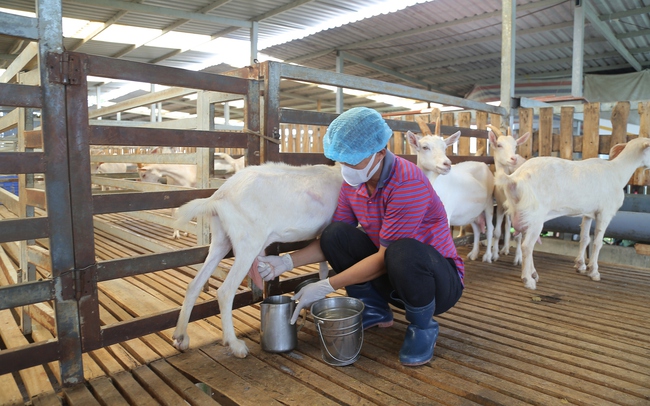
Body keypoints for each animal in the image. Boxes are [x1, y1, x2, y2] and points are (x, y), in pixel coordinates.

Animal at [172, 163, 344, 358]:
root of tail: (219, 196)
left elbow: (322, 267)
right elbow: (325, 266)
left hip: (220, 240)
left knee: (194, 285)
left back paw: (181, 337)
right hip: (248, 244)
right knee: (225, 291)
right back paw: (235, 345)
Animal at [408, 119, 494, 262]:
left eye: (444, 147)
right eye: (425, 147)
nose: (447, 164)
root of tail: (483, 164)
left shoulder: (446, 214)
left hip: (488, 204)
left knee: (490, 228)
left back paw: (488, 256)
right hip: (472, 211)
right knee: (476, 229)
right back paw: (474, 253)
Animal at [484, 124, 528, 264]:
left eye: (515, 145)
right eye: (499, 145)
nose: (513, 159)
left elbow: (519, 235)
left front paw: (518, 259)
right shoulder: (500, 205)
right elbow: (498, 232)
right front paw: (494, 255)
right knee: (508, 224)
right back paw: (505, 248)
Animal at [498, 138, 648, 290]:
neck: (618, 172)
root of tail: (515, 178)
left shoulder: (588, 213)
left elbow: (585, 239)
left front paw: (581, 265)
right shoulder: (604, 213)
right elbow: (598, 242)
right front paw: (594, 272)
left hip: (524, 214)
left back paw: (533, 274)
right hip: (535, 215)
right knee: (527, 246)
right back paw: (528, 280)